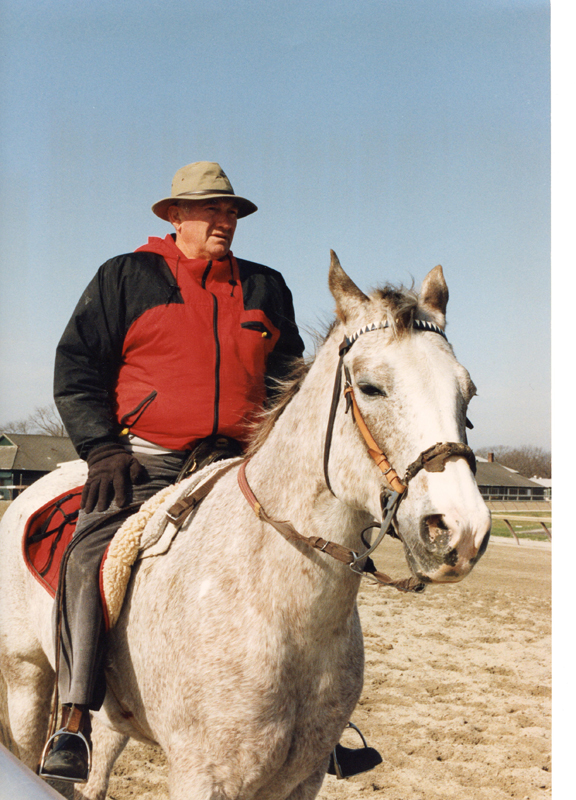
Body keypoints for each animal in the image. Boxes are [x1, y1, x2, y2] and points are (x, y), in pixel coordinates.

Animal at [0, 256, 490, 800]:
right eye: (369, 387)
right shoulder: (202, 776)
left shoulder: (300, 779)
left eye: (467, 392)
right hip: (26, 678)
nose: (459, 532)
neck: (280, 607)